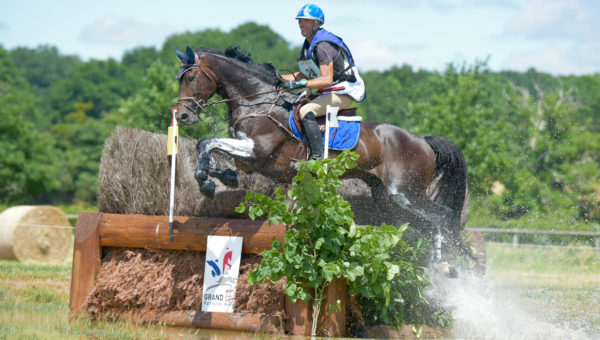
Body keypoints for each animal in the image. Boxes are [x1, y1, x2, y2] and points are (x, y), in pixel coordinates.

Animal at [175, 43, 474, 264]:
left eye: (190, 77)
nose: (183, 116)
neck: (257, 101)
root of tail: (423, 141)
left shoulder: (257, 152)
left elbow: (208, 142)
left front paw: (207, 182)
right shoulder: (248, 159)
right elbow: (206, 146)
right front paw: (218, 177)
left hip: (405, 192)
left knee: (442, 216)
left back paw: (441, 263)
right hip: (388, 198)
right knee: (427, 221)